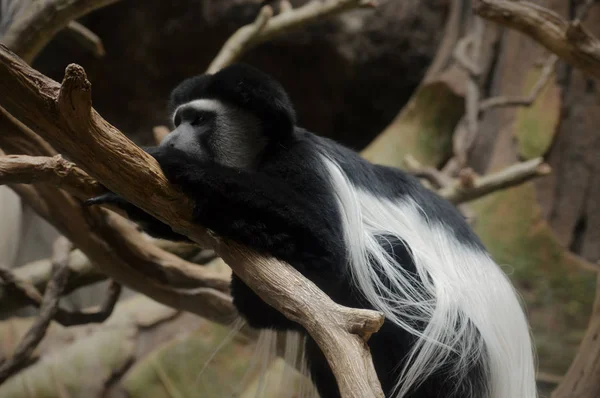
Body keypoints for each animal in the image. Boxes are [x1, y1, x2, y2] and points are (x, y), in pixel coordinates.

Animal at [85, 63, 540, 396]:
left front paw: (177, 165)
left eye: (198, 121)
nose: (173, 139)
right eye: (179, 120)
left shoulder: (302, 165)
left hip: (457, 346)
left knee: (391, 259)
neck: (267, 152)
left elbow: (324, 249)